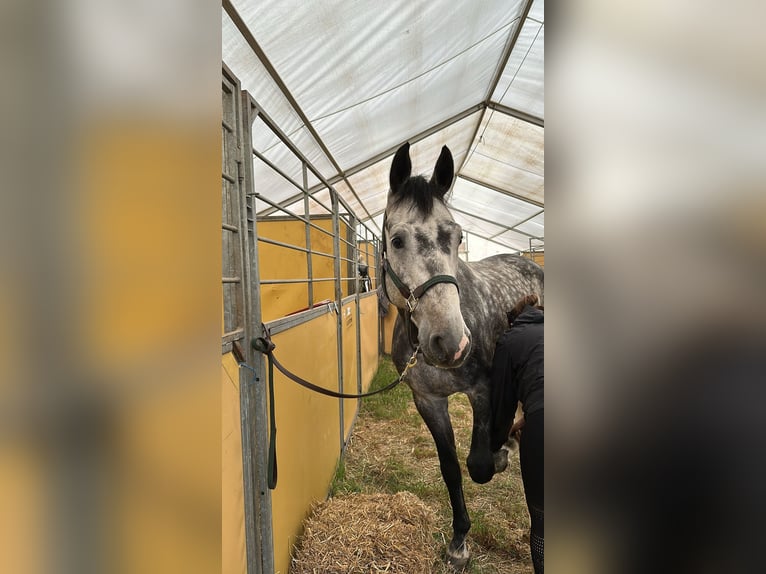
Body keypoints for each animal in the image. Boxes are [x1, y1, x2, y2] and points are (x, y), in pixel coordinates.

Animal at [380, 142, 544, 569]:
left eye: (456, 237)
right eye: (397, 240)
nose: (451, 342)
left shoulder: (483, 391)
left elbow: (479, 464)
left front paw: (500, 452)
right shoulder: (428, 400)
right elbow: (452, 468)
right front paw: (458, 543)